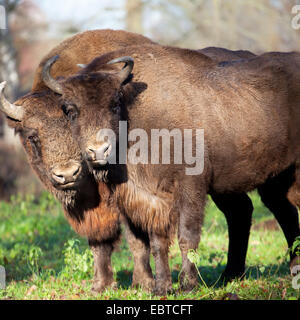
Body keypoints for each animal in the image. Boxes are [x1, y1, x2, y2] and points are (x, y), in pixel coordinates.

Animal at [41, 45, 300, 296]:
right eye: (70, 110)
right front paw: (161, 288)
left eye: (114, 104)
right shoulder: (152, 199)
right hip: (271, 181)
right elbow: (158, 243)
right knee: (277, 213)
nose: (99, 151)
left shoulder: (190, 188)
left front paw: (187, 285)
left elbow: (186, 237)